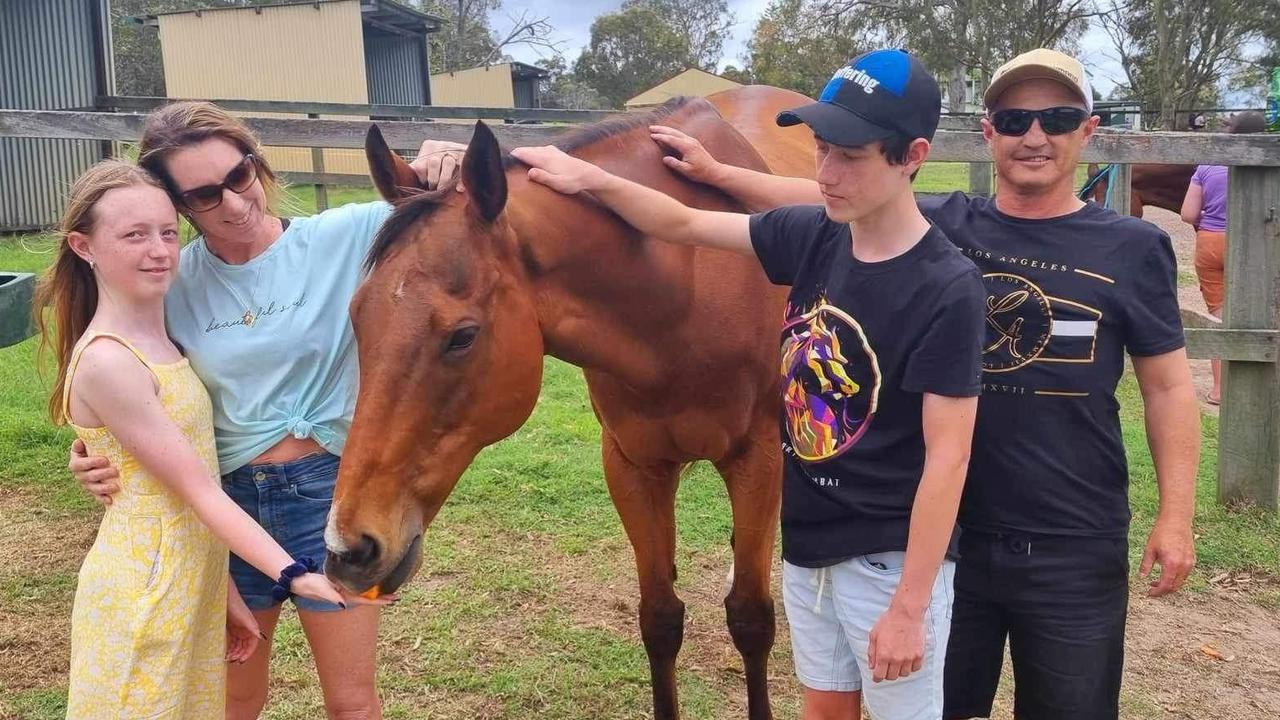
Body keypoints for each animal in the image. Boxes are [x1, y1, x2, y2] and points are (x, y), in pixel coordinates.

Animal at [325, 88, 814, 717]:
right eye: (357, 316)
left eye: (462, 336)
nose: (348, 548)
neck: (684, 285)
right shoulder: (632, 465)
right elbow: (661, 619)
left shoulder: (758, 459)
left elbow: (751, 618)